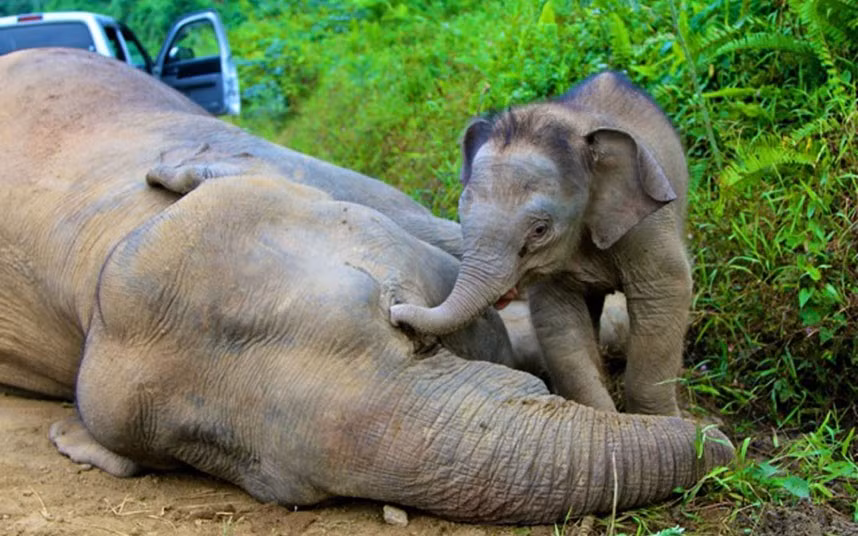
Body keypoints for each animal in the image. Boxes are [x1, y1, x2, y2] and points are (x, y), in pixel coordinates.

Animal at [391, 72, 691, 416]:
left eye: (539, 230)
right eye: (460, 213)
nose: (394, 312)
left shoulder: (647, 225)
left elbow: (664, 294)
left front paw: (661, 420)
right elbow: (558, 322)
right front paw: (602, 416)